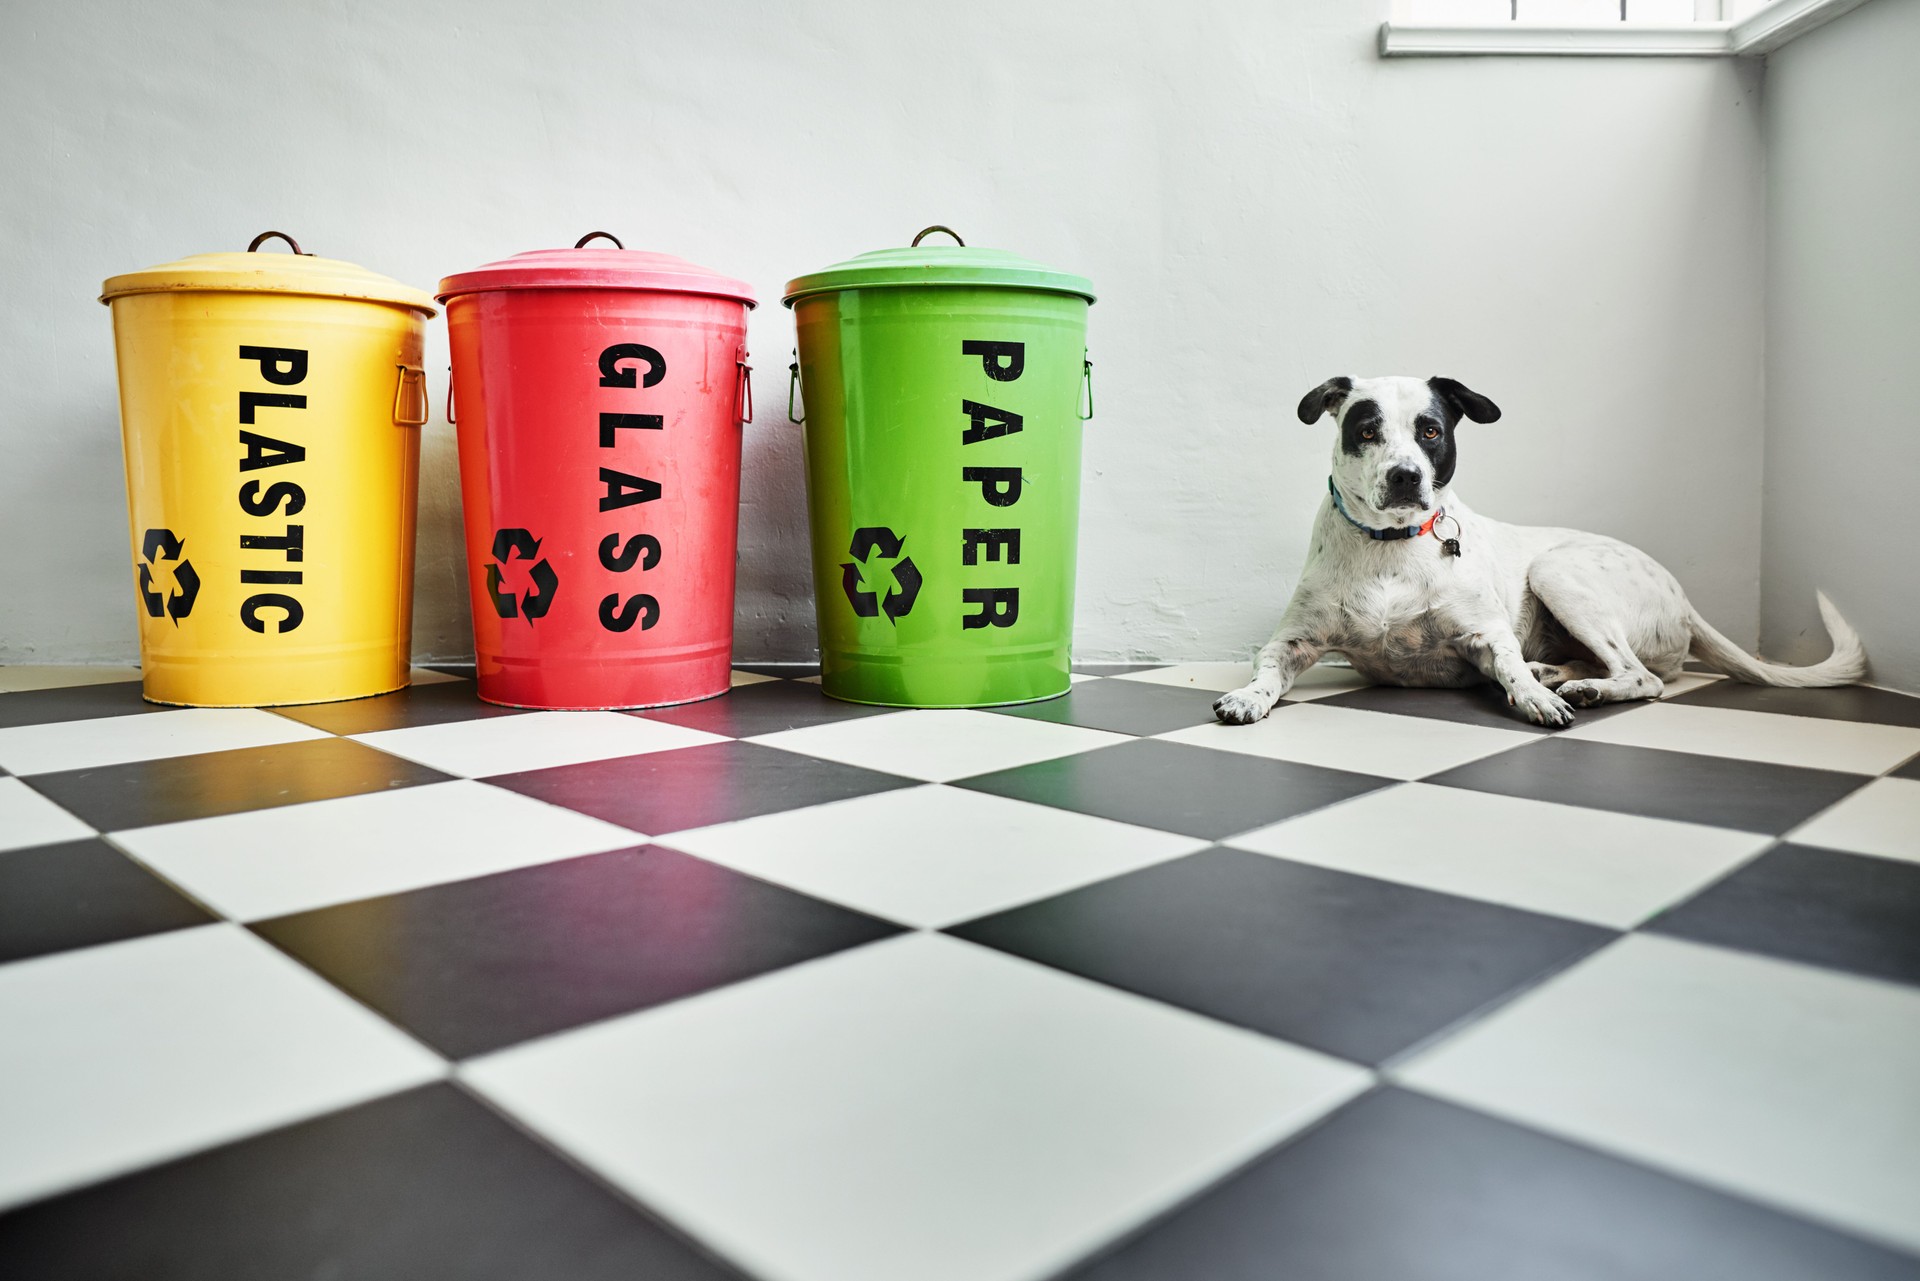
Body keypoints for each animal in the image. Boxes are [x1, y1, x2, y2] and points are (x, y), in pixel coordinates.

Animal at [1213, 376, 1858, 725]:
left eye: (1430, 431)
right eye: (1366, 430)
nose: (1405, 477)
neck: (1392, 547)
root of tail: (1684, 599)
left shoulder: (1486, 635)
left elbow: (1507, 665)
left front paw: (1529, 695)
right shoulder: (1292, 641)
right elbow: (1266, 670)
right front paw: (1247, 696)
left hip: (1559, 569)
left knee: (1643, 676)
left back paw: (1580, 687)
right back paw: (1559, 673)